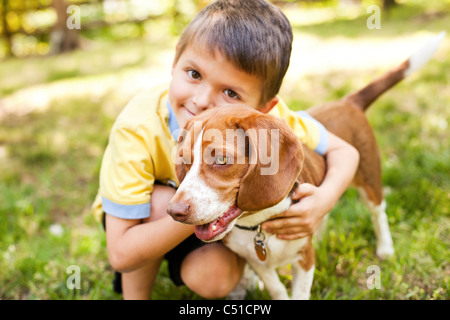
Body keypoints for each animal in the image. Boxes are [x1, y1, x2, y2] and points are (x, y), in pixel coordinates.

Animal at [167, 33, 444, 300]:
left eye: (222, 160)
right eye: (183, 160)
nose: (173, 211)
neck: (259, 224)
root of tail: (346, 102)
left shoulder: (304, 258)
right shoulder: (258, 263)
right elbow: (277, 289)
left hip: (368, 177)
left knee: (378, 213)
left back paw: (385, 247)